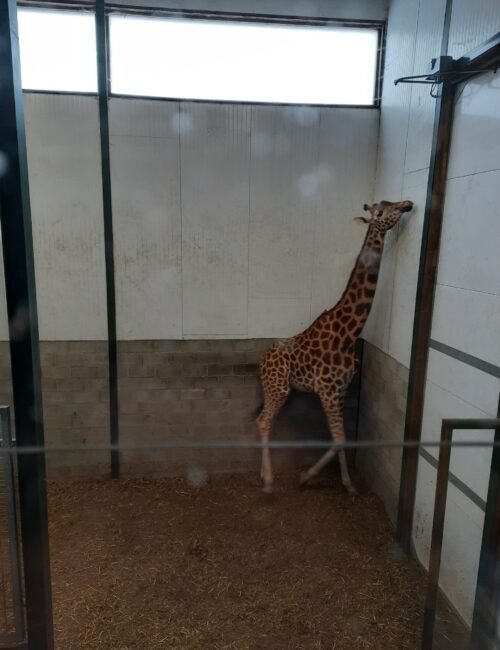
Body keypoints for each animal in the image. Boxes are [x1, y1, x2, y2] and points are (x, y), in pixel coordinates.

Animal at [255, 199, 414, 494]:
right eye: (381, 212)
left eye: (390, 203)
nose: (408, 204)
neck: (350, 333)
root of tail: (261, 359)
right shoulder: (327, 390)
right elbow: (339, 439)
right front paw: (306, 477)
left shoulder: (341, 389)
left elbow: (342, 438)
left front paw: (348, 484)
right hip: (278, 388)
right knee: (263, 421)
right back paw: (269, 481)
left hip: (277, 388)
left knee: (263, 421)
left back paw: (263, 474)